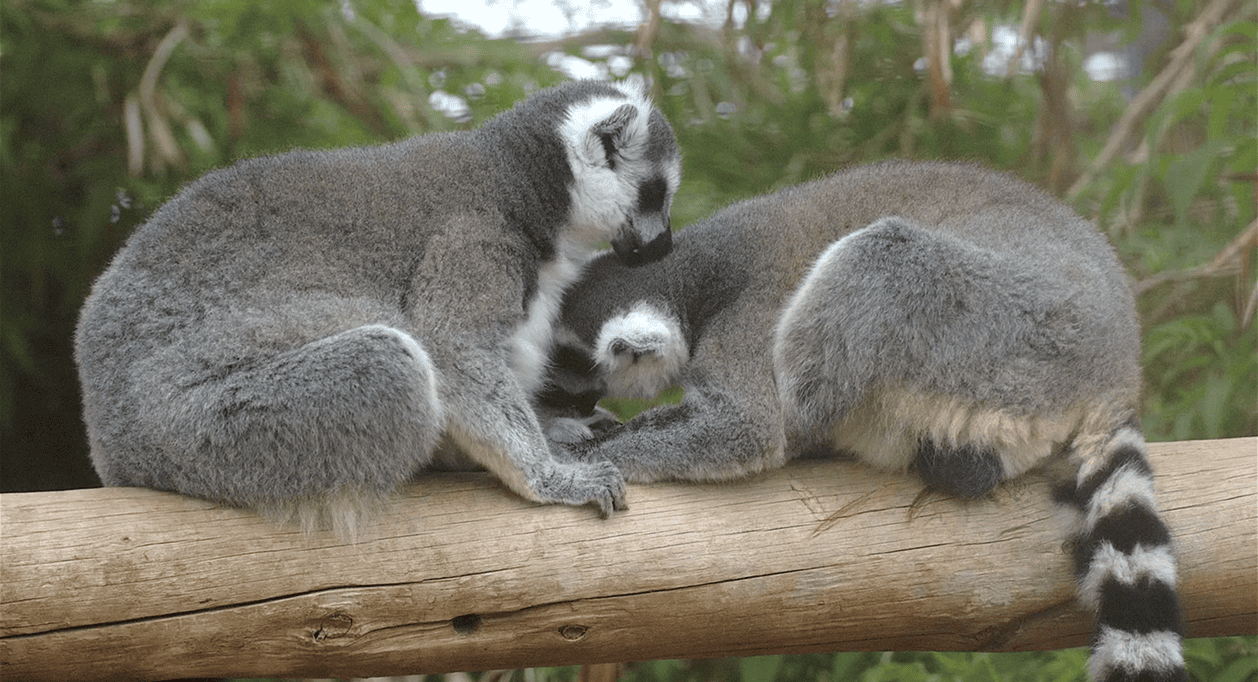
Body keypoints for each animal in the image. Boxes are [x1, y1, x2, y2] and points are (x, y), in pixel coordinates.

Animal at [74, 80, 682, 534]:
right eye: (655, 193)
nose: (664, 246)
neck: (523, 184)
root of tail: (109, 439)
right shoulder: (474, 238)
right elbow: (453, 349)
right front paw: (549, 478)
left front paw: (555, 430)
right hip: (202, 432)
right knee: (392, 364)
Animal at [542, 160, 1186, 682]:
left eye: (569, 379)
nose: (554, 408)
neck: (701, 275)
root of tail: (1113, 362)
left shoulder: (751, 313)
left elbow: (745, 429)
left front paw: (580, 460)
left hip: (1003, 331)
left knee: (876, 262)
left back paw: (813, 437)